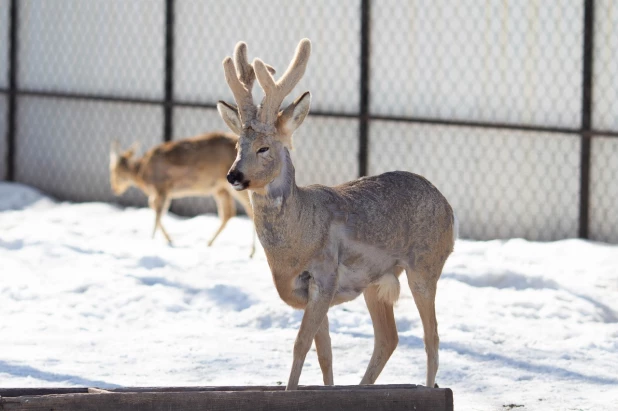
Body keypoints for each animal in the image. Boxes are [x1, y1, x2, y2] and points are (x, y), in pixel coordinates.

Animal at [109, 133, 254, 258]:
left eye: (113, 170)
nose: (114, 189)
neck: (141, 173)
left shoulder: (161, 188)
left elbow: (157, 214)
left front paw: (153, 240)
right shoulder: (164, 192)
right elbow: (156, 211)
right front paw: (168, 240)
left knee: (249, 210)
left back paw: (251, 253)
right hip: (220, 188)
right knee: (228, 213)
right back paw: (208, 243)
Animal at [215, 40, 452, 392]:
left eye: (263, 148)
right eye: (236, 146)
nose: (234, 175)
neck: (298, 238)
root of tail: (448, 207)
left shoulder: (325, 275)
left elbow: (301, 345)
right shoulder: (305, 290)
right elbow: (323, 352)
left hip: (425, 264)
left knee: (431, 336)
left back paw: (428, 388)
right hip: (378, 281)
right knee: (389, 338)